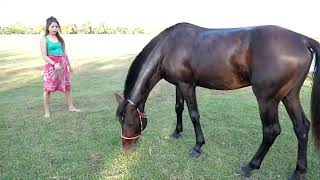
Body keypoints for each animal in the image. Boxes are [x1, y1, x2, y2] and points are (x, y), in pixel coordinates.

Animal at [115, 22, 320, 180]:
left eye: (130, 122)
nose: (126, 148)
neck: (168, 47)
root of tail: (302, 39)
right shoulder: (178, 85)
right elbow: (178, 108)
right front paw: (177, 132)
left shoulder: (187, 85)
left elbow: (194, 115)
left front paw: (197, 147)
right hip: (289, 95)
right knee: (301, 127)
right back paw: (299, 171)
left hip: (267, 99)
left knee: (271, 131)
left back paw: (250, 166)